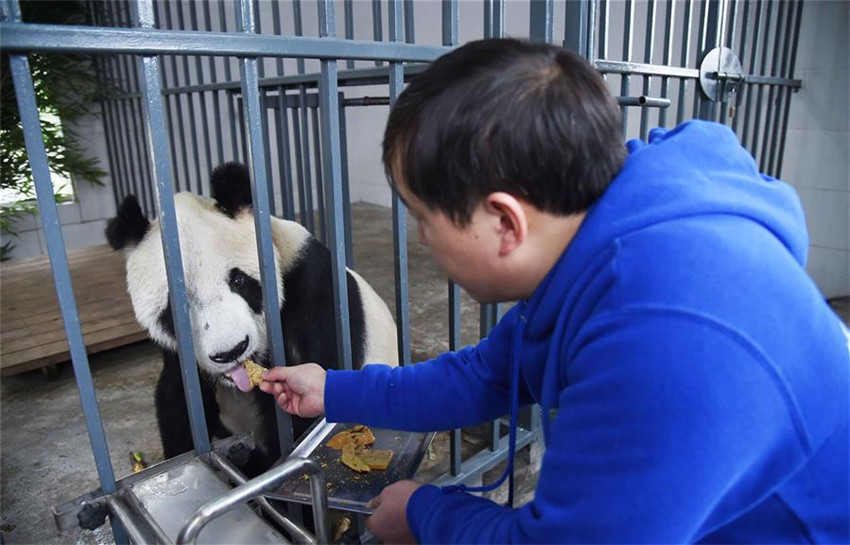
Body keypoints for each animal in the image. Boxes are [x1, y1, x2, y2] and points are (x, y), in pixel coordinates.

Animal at [105, 162, 398, 477]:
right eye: (176, 307)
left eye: (238, 281)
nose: (231, 351)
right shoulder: (178, 353)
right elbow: (177, 398)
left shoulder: (314, 291)